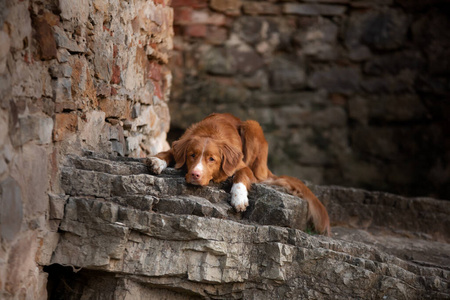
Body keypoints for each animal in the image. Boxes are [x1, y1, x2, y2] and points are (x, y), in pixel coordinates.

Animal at [148, 113, 330, 237]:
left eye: (212, 159)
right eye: (192, 155)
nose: (195, 174)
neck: (210, 133)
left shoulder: (242, 166)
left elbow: (241, 177)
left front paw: (239, 198)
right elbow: (169, 152)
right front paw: (158, 161)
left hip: (252, 127)